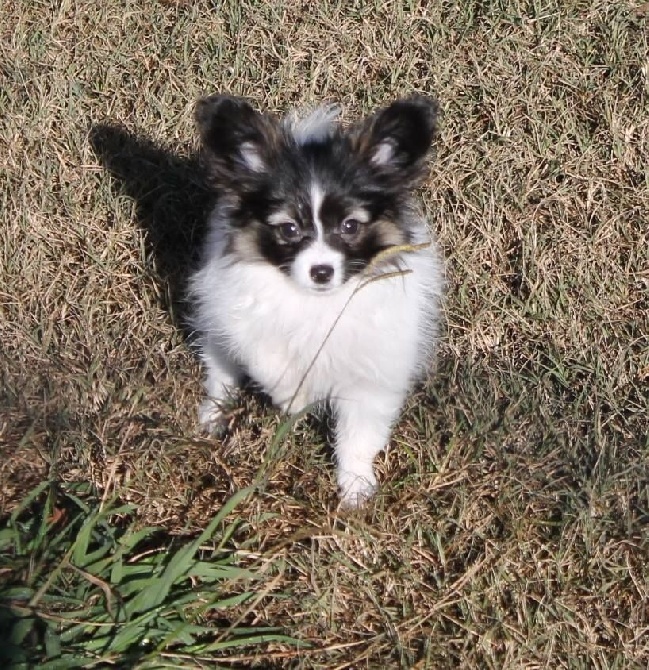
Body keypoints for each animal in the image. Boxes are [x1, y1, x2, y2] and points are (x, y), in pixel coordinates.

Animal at [185, 93, 442, 504]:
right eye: (289, 229)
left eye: (350, 226)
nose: (321, 271)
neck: (319, 303)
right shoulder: (245, 320)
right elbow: (271, 364)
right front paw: (295, 399)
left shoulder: (374, 368)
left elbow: (359, 433)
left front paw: (355, 489)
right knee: (221, 372)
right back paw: (214, 414)